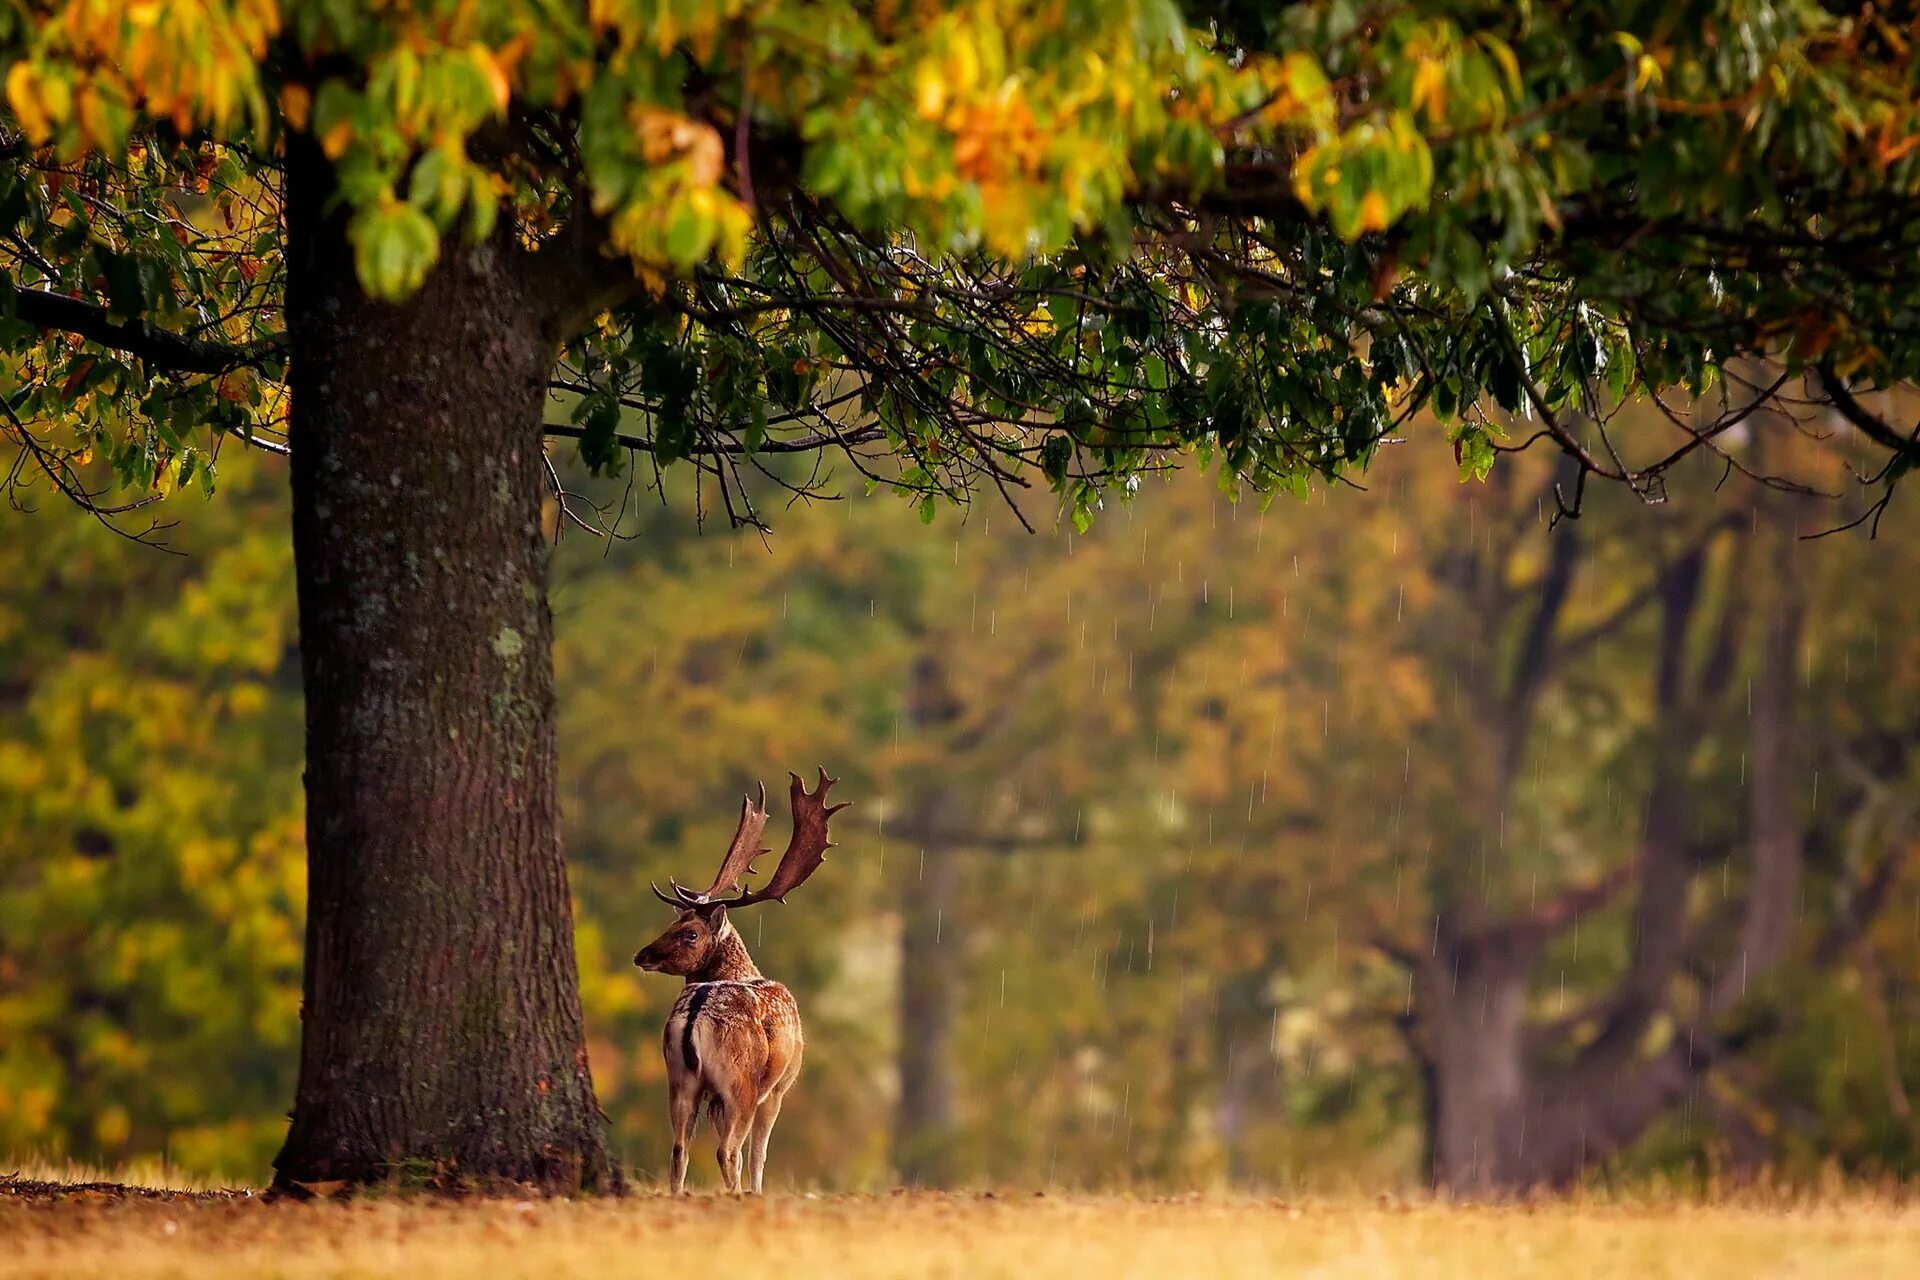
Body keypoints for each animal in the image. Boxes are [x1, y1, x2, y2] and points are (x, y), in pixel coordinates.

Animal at [633, 767, 844, 1197]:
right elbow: (759, 1153)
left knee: (679, 1148)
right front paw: (757, 1190)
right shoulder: (779, 1086)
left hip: (679, 1078)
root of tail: (694, 1018)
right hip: (739, 1084)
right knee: (728, 1150)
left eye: (688, 932)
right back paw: (735, 1194)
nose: (640, 955)